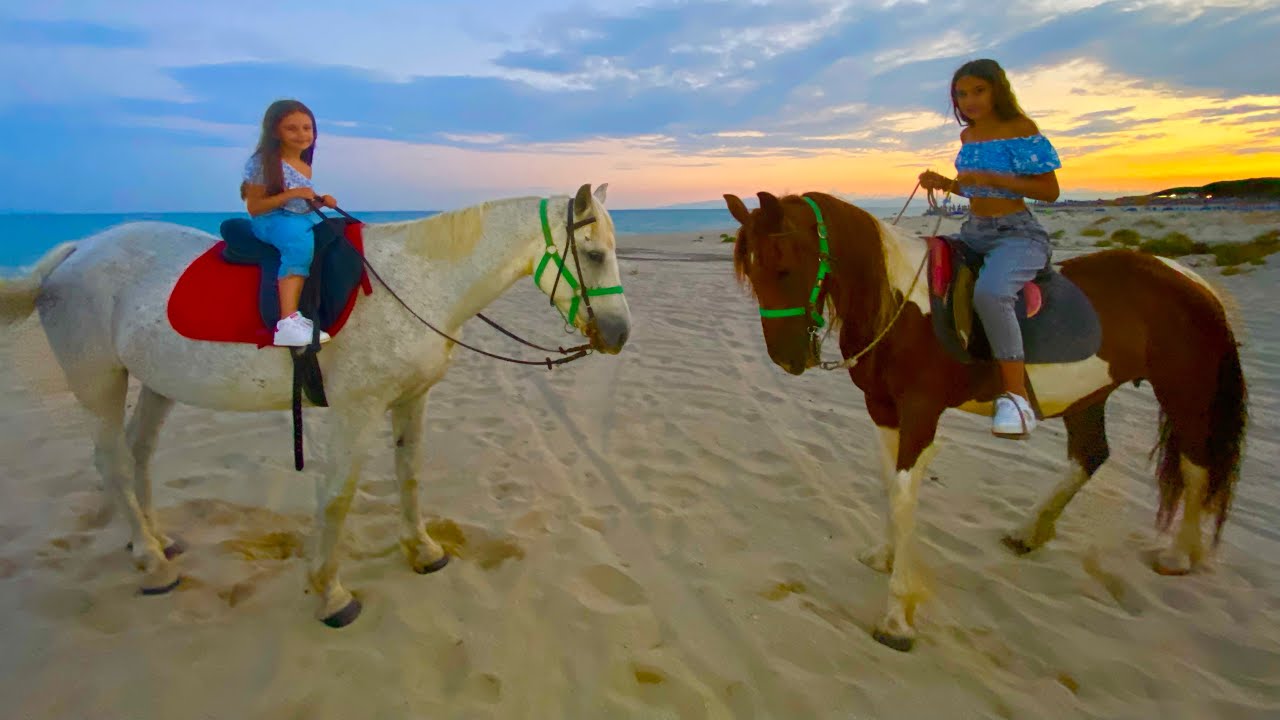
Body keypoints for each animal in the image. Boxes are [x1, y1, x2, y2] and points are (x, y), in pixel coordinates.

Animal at [0, 183, 632, 628]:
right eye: (593, 254)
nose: (621, 334)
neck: (420, 283)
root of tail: (76, 251)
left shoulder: (411, 400)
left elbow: (409, 476)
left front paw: (423, 551)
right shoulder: (356, 411)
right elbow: (337, 498)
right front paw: (330, 593)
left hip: (157, 383)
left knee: (138, 453)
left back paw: (152, 541)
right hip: (99, 382)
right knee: (110, 461)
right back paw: (153, 566)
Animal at [723, 190, 1247, 652]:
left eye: (784, 266)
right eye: (751, 272)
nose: (787, 358)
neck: (901, 306)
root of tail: (1192, 281)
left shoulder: (920, 413)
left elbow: (904, 494)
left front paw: (897, 617)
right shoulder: (882, 410)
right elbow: (890, 487)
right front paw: (886, 557)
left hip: (1185, 391)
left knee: (1196, 466)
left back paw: (1178, 554)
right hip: (1089, 394)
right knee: (1090, 455)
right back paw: (1029, 533)